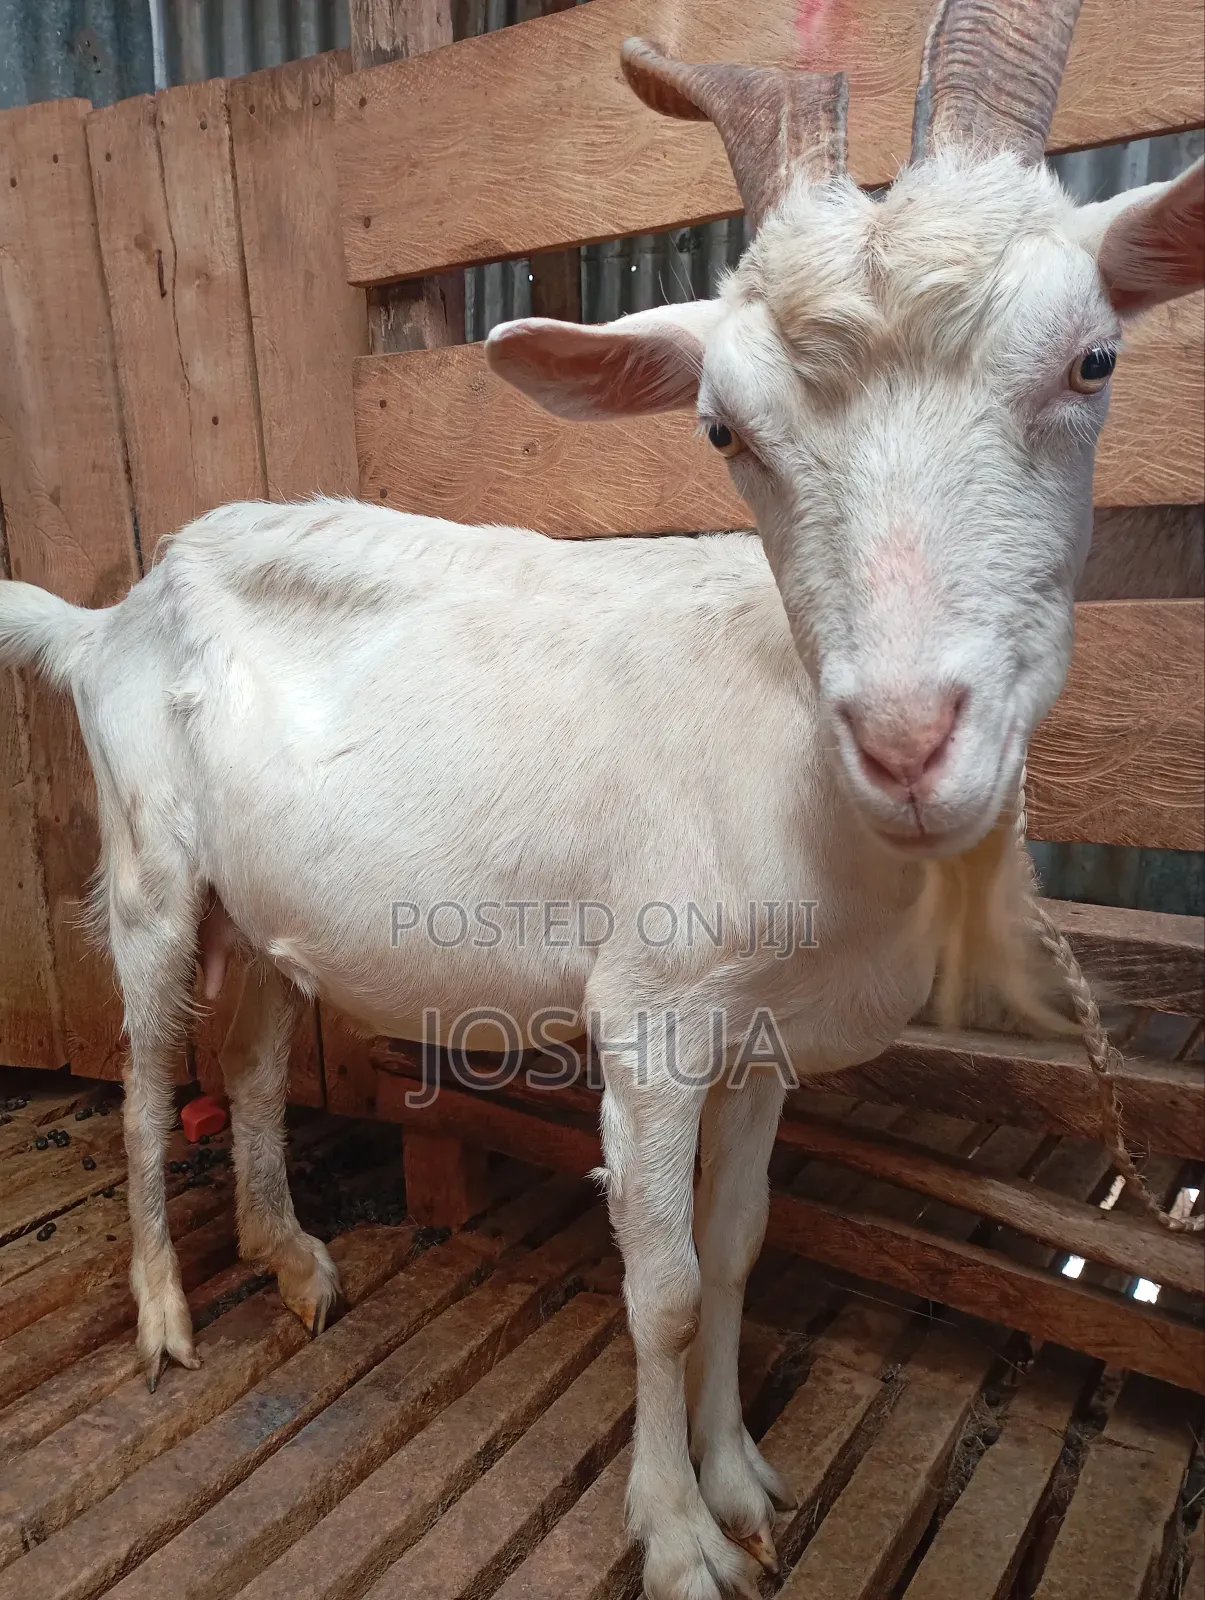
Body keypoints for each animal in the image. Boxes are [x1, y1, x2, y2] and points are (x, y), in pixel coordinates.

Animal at [1, 0, 1202, 1593]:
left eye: (1092, 361)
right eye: (722, 432)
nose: (905, 741)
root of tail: (111, 614)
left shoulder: (762, 1035)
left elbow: (742, 1239)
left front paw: (743, 1478)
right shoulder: (652, 1009)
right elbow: (666, 1281)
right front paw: (677, 1533)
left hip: (264, 902)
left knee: (249, 1056)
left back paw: (292, 1260)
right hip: (147, 851)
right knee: (143, 1080)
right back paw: (163, 1317)